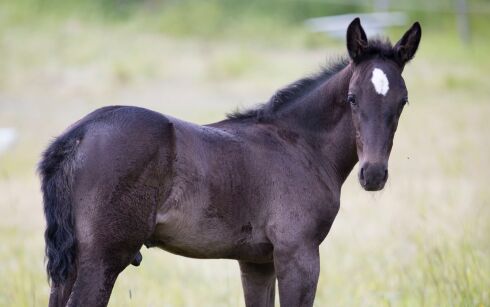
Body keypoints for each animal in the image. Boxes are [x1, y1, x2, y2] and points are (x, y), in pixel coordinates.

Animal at [38, 18, 422, 306]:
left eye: (403, 102)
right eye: (353, 98)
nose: (374, 174)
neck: (300, 145)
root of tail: (79, 133)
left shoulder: (257, 262)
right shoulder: (298, 254)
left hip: (71, 263)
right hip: (105, 257)